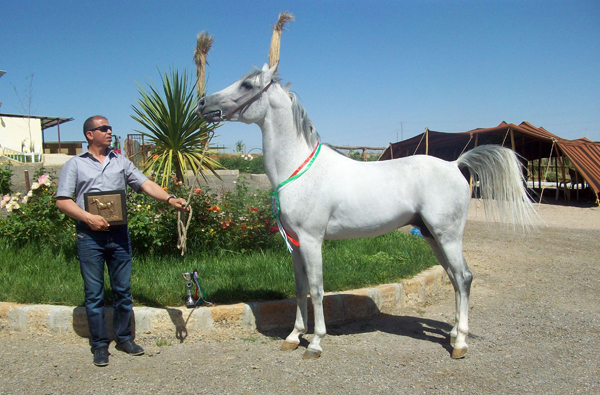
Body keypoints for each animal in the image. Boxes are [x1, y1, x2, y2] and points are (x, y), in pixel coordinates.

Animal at [199, 63, 536, 360]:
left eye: (247, 85)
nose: (203, 104)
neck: (299, 169)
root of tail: (455, 165)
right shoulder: (294, 244)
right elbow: (300, 288)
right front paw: (294, 337)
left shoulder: (311, 240)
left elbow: (317, 290)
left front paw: (315, 343)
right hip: (432, 236)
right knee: (454, 278)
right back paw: (453, 334)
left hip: (448, 235)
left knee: (464, 277)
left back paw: (461, 344)